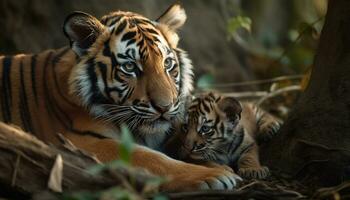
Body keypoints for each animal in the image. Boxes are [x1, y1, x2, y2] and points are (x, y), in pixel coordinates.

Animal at [0, 3, 241, 191]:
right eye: (130, 67)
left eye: (167, 64)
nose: (165, 107)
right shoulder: (82, 141)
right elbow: (152, 158)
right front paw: (215, 175)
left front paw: (219, 166)